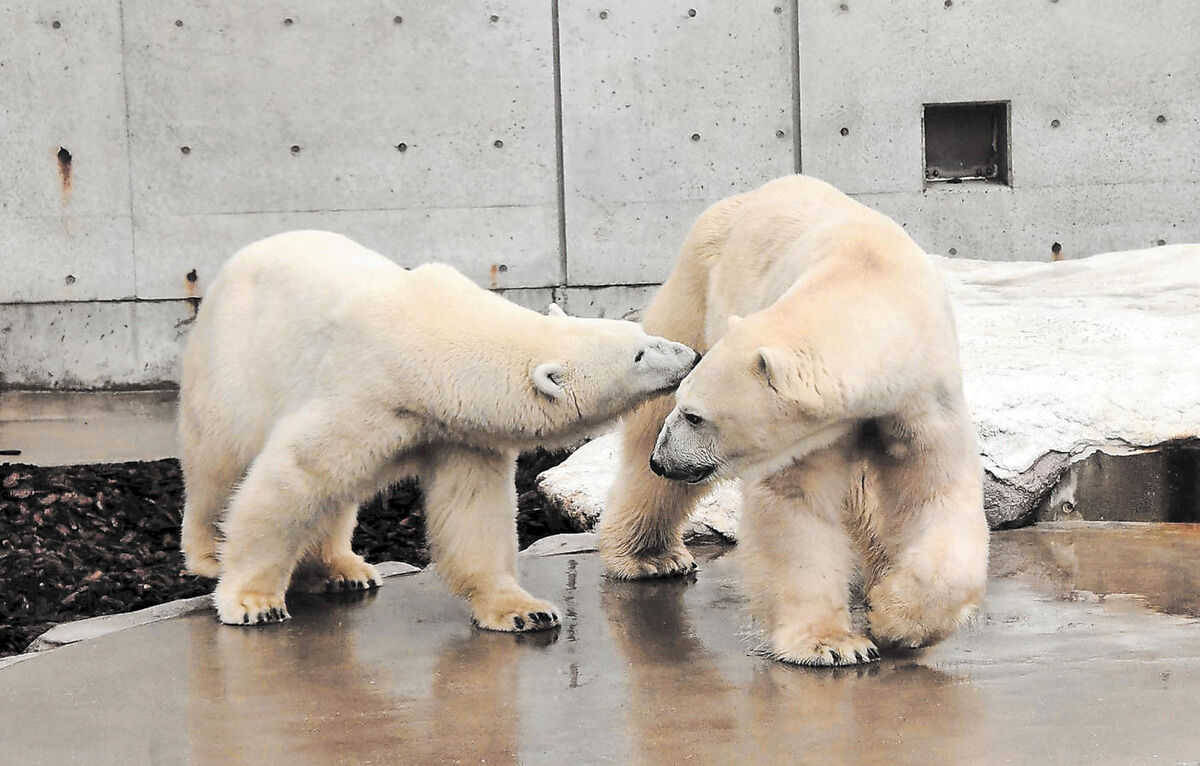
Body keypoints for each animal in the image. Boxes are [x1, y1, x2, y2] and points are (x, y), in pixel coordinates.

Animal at [181, 230, 700, 633]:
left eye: (644, 338)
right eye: (639, 354)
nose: (692, 354)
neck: (431, 344)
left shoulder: (460, 432)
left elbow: (472, 510)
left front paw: (525, 611)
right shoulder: (363, 390)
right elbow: (293, 476)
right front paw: (253, 602)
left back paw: (345, 569)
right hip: (232, 361)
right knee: (219, 463)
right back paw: (210, 555)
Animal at [595, 174, 988, 667]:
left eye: (696, 416)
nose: (662, 460)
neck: (865, 279)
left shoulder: (922, 396)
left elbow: (936, 491)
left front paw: (897, 619)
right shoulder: (808, 433)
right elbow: (798, 502)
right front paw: (832, 644)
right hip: (695, 287)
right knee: (648, 422)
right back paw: (648, 556)